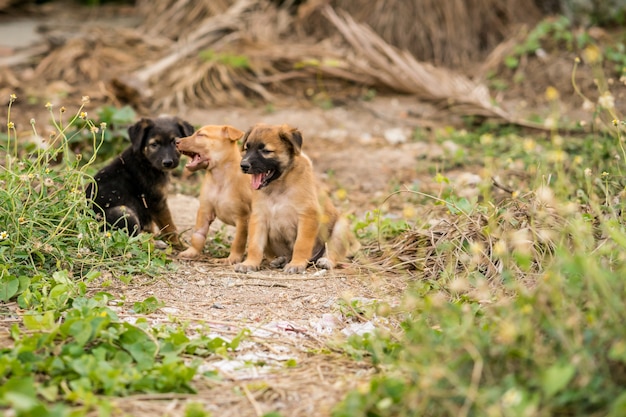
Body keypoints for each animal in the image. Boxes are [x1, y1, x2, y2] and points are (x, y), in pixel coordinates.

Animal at [85, 114, 193, 245]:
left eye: (175, 143)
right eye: (154, 144)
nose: (167, 162)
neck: (145, 161)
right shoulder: (157, 202)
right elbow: (169, 226)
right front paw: (180, 244)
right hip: (124, 212)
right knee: (130, 239)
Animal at [174, 124, 250, 264]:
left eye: (201, 135)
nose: (176, 140)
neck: (219, 177)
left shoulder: (243, 218)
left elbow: (238, 241)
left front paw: (232, 258)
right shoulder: (205, 210)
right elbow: (198, 235)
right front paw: (192, 252)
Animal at [232, 122, 358, 272]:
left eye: (266, 151)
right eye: (247, 148)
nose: (243, 165)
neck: (278, 187)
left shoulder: (307, 216)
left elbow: (301, 244)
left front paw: (296, 264)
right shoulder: (259, 217)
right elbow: (255, 245)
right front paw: (249, 263)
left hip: (340, 227)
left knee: (334, 252)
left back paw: (326, 261)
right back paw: (280, 260)